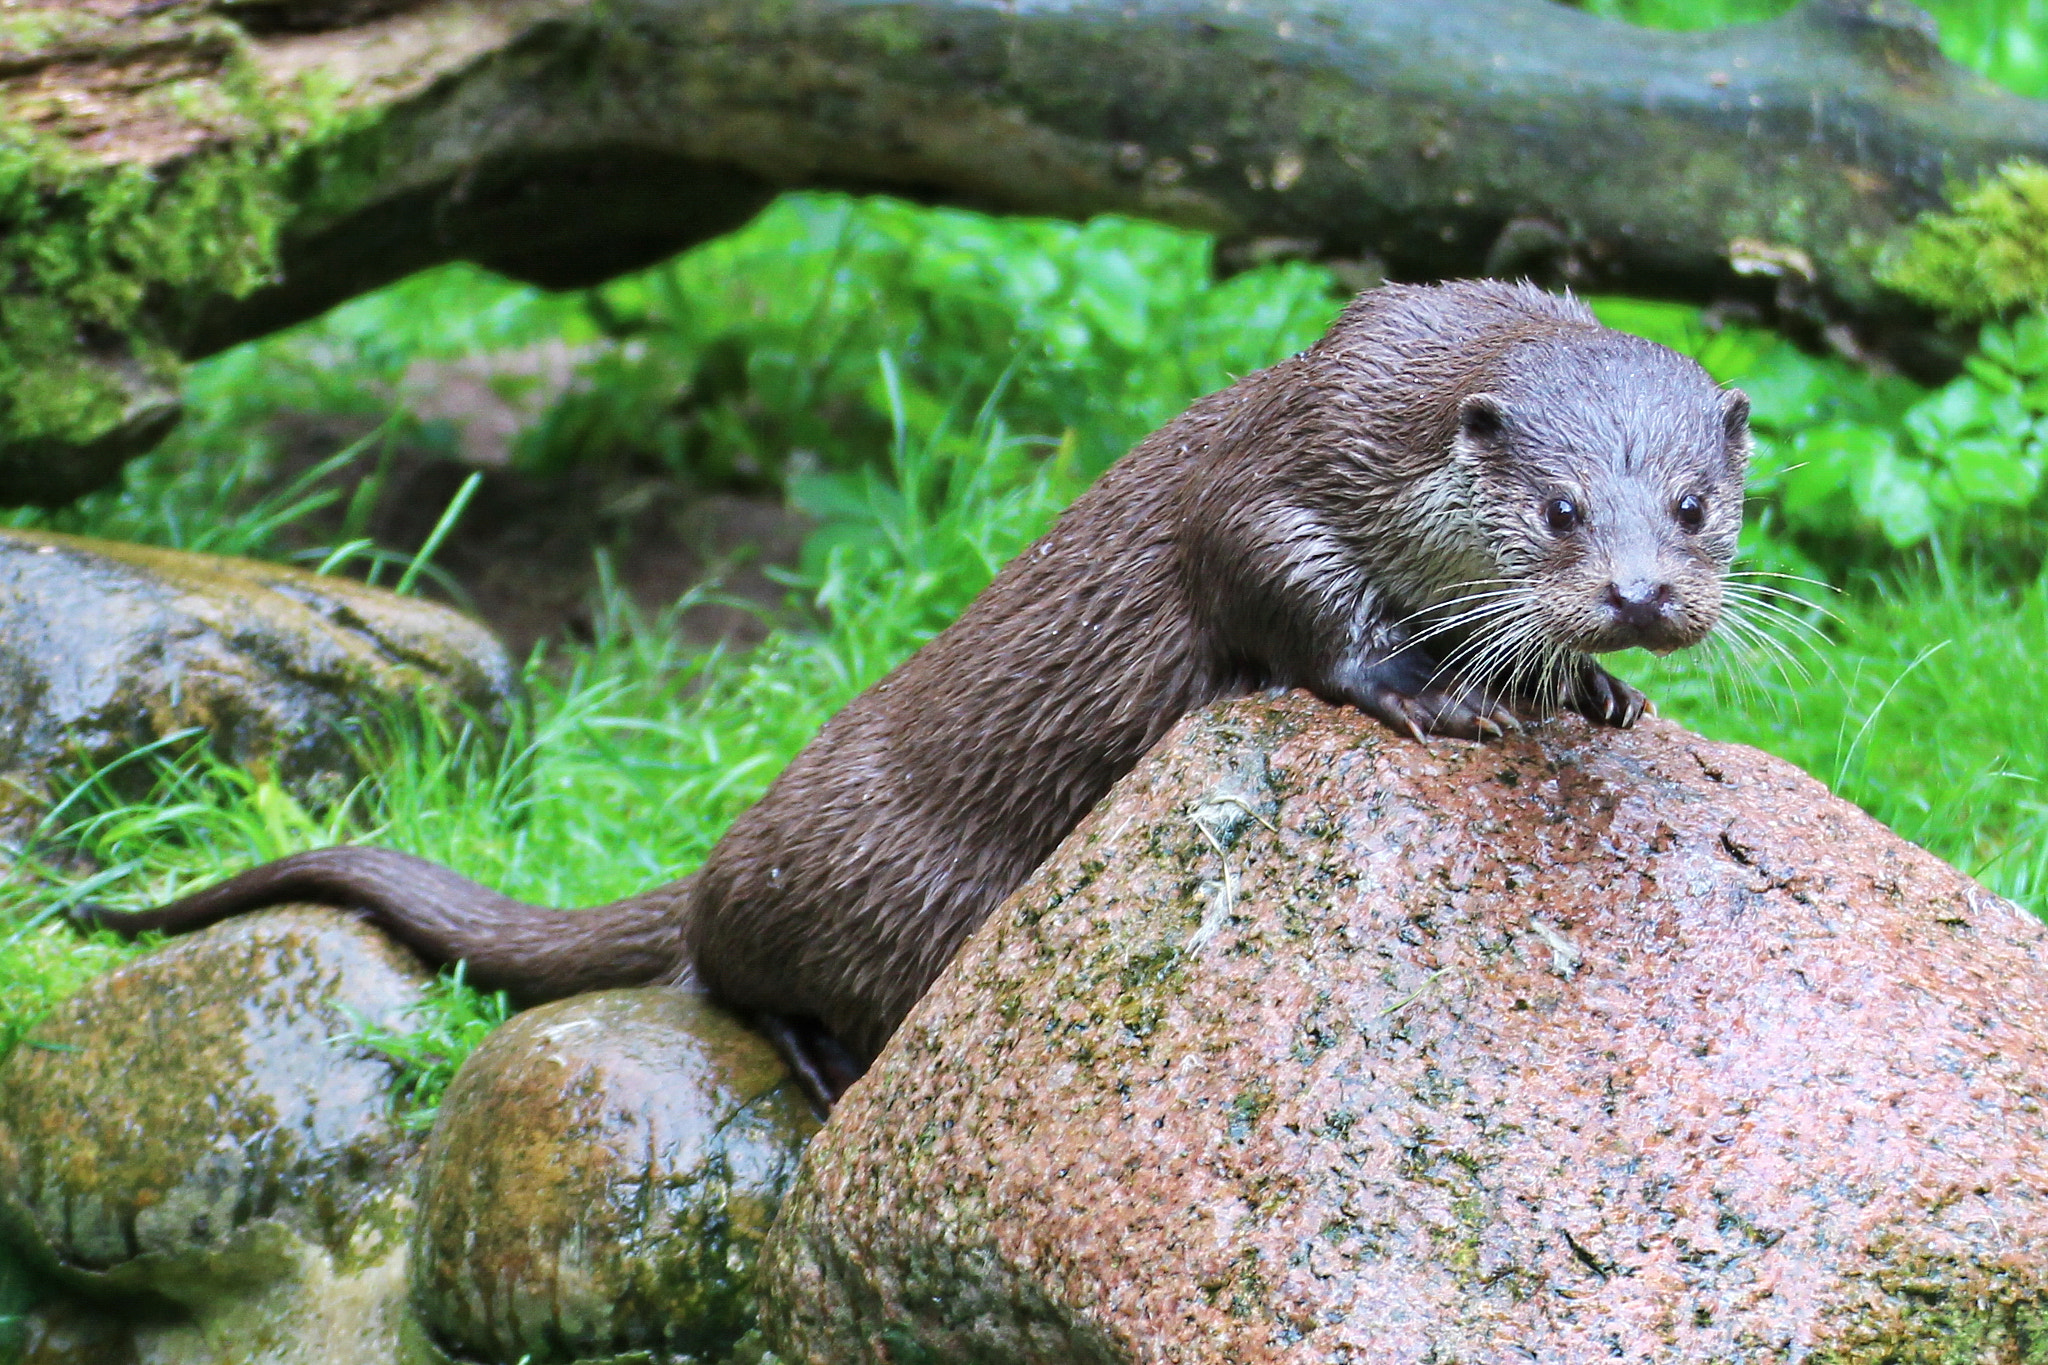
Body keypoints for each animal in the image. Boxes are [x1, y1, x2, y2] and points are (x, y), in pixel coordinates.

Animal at [79, 282, 1744, 1105]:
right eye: (1558, 513)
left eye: (1693, 505)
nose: (1639, 596)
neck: (1403, 406)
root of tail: (726, 853)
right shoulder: (1288, 464)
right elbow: (1274, 585)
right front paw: (1432, 683)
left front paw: (1589, 685)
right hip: (852, 885)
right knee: (724, 977)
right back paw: (819, 1060)